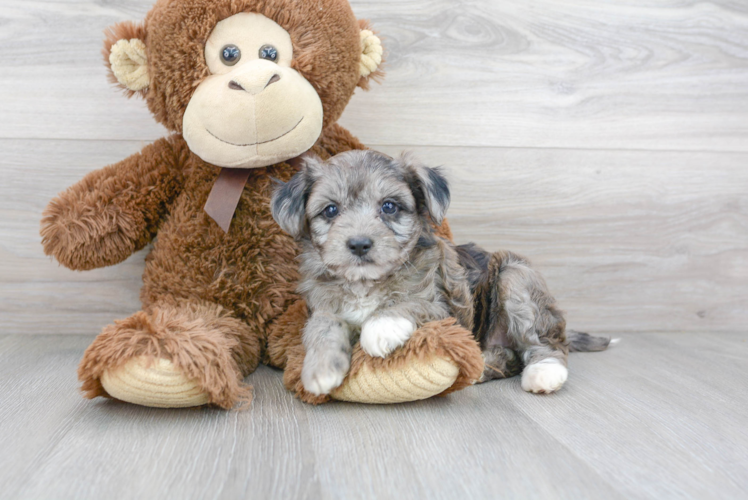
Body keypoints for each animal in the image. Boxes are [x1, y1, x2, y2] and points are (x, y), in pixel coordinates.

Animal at [272, 150, 612, 396]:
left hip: (515, 277)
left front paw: (379, 327)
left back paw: (544, 372)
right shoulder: (322, 305)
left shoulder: (443, 308)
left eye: (389, 207)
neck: (366, 282)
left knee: (545, 342)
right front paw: (320, 368)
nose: (359, 244)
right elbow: (322, 326)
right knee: (511, 357)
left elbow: (410, 302)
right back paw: (482, 365)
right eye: (330, 210)